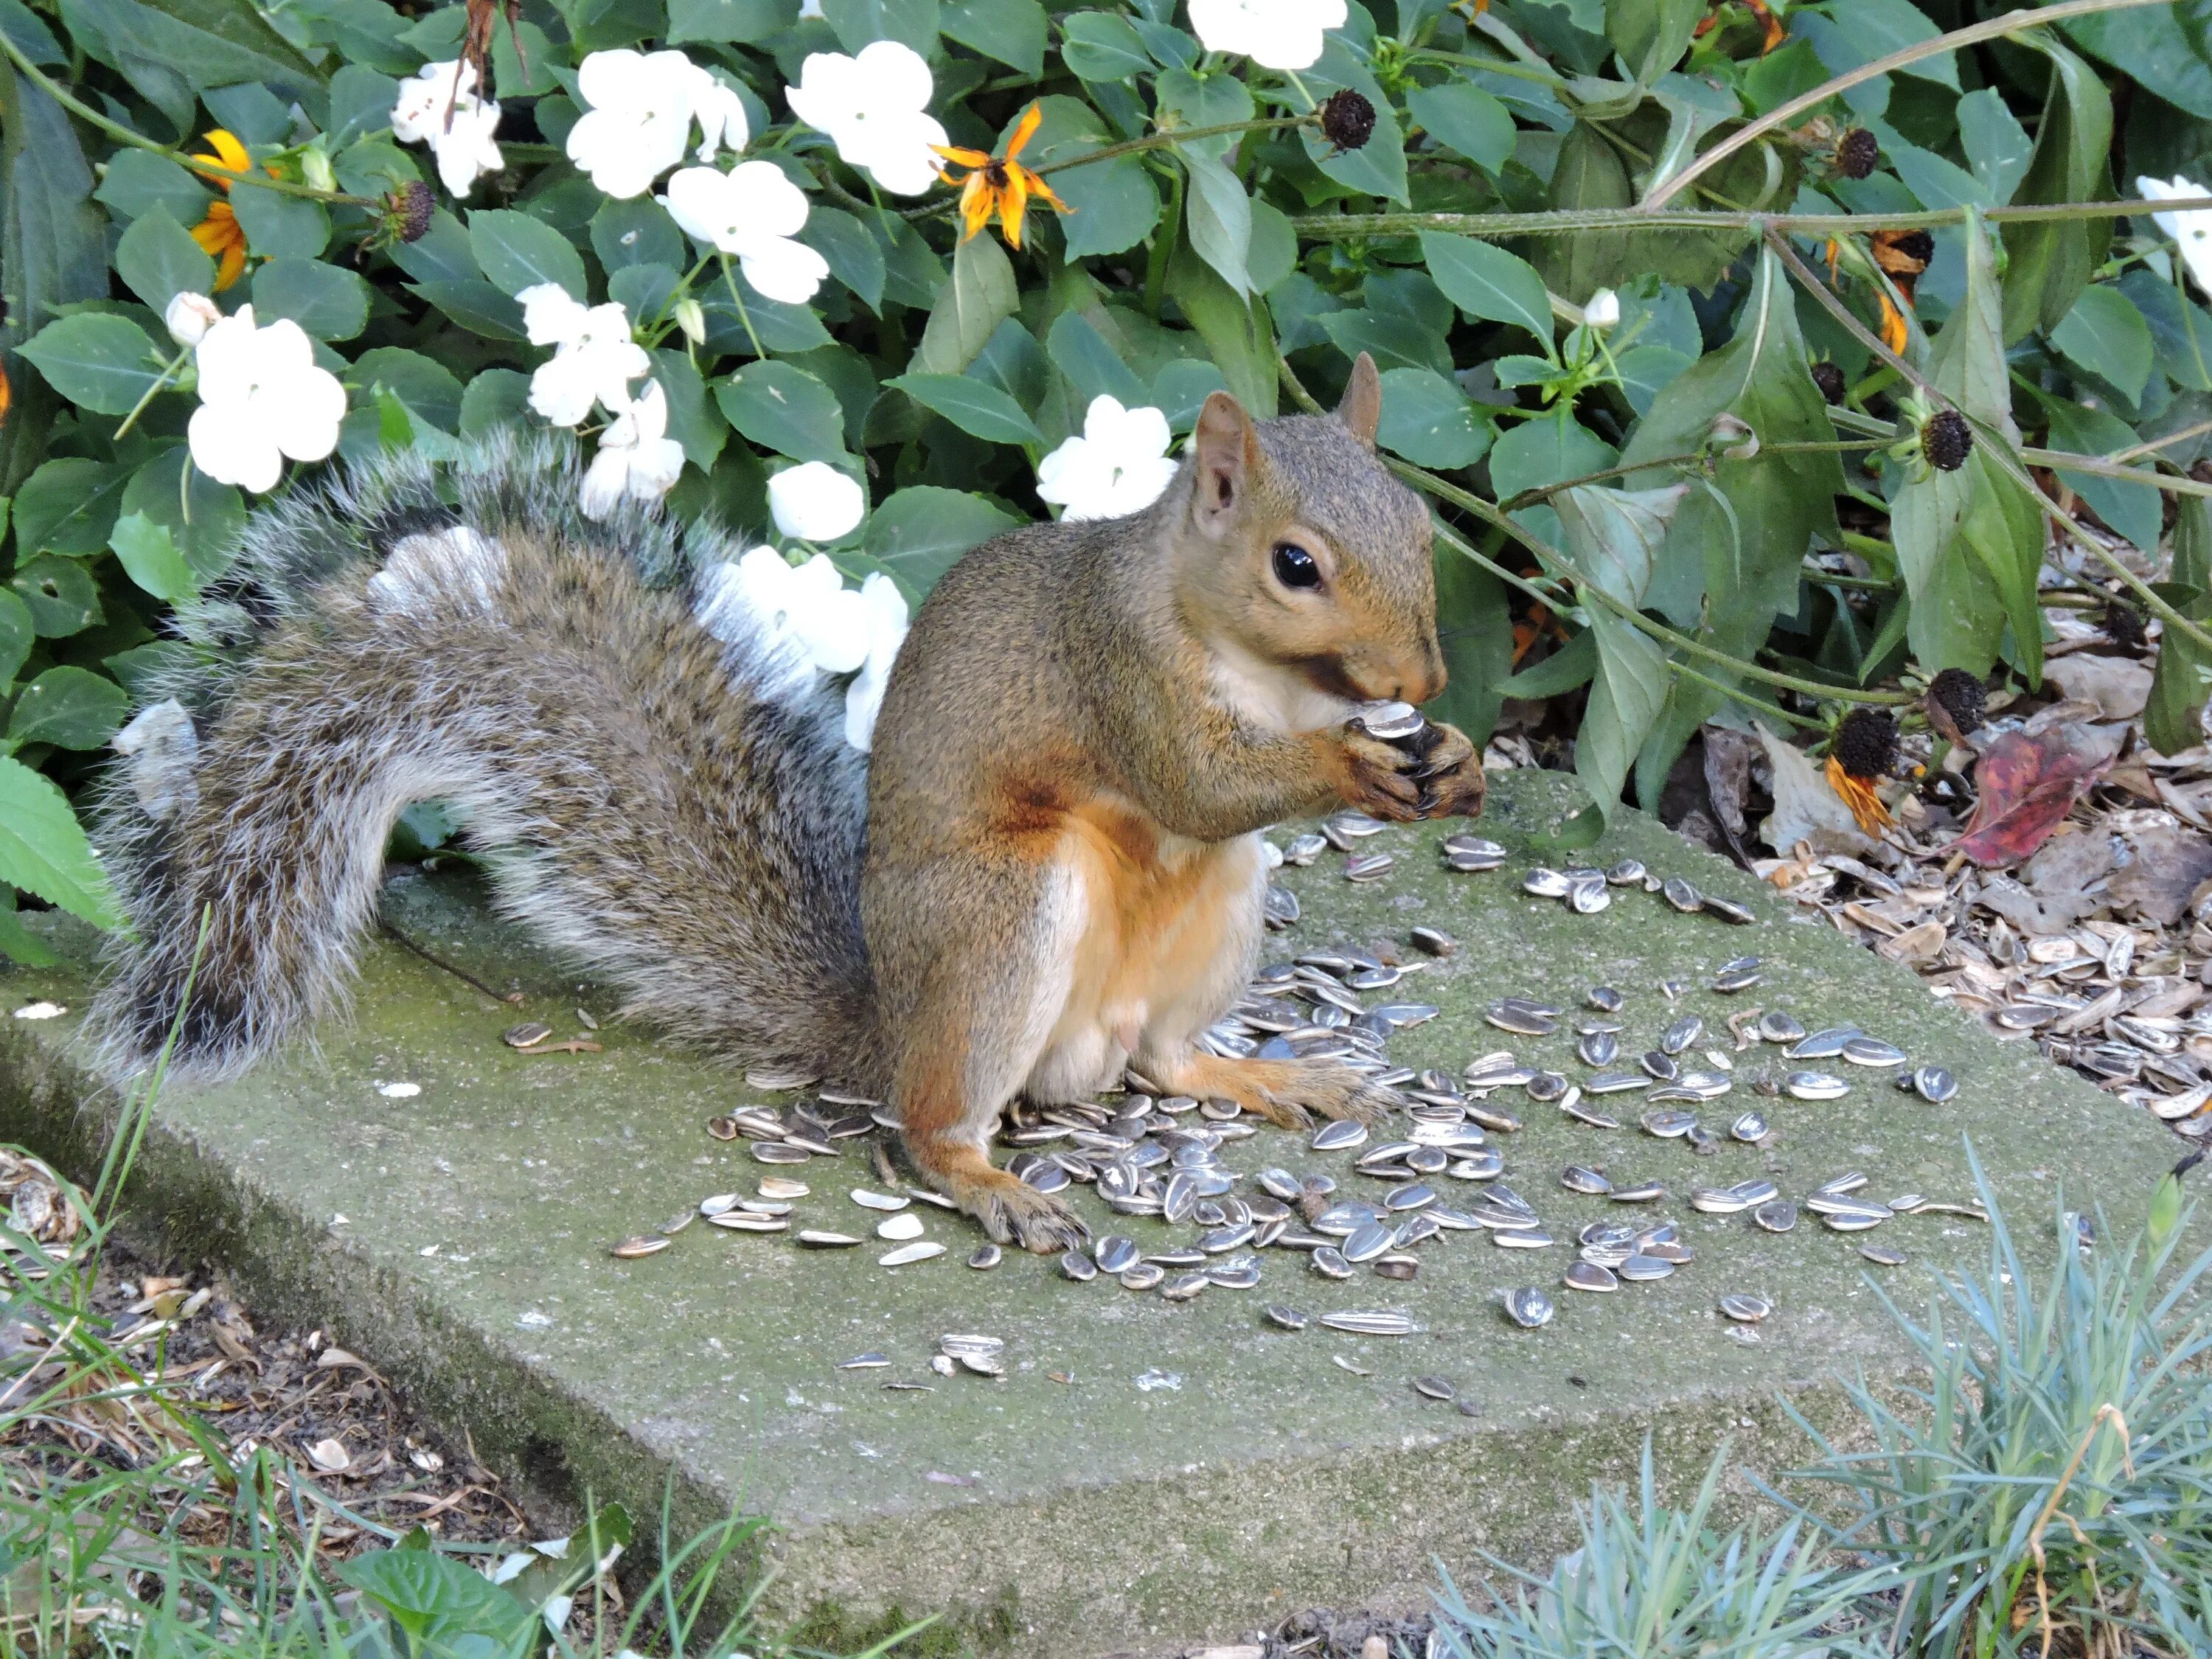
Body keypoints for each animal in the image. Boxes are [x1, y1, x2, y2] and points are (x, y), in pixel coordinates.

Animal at [100, 358, 1486, 1256]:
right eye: (1294, 564)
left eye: (1423, 526)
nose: (1422, 681)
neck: (1273, 677)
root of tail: (887, 1025)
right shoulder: (1118, 666)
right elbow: (1196, 780)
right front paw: (1359, 769)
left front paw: (1457, 758)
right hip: (1006, 918)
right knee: (930, 1124)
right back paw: (987, 1179)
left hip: (1217, 916)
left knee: (1163, 1057)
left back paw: (1272, 1075)